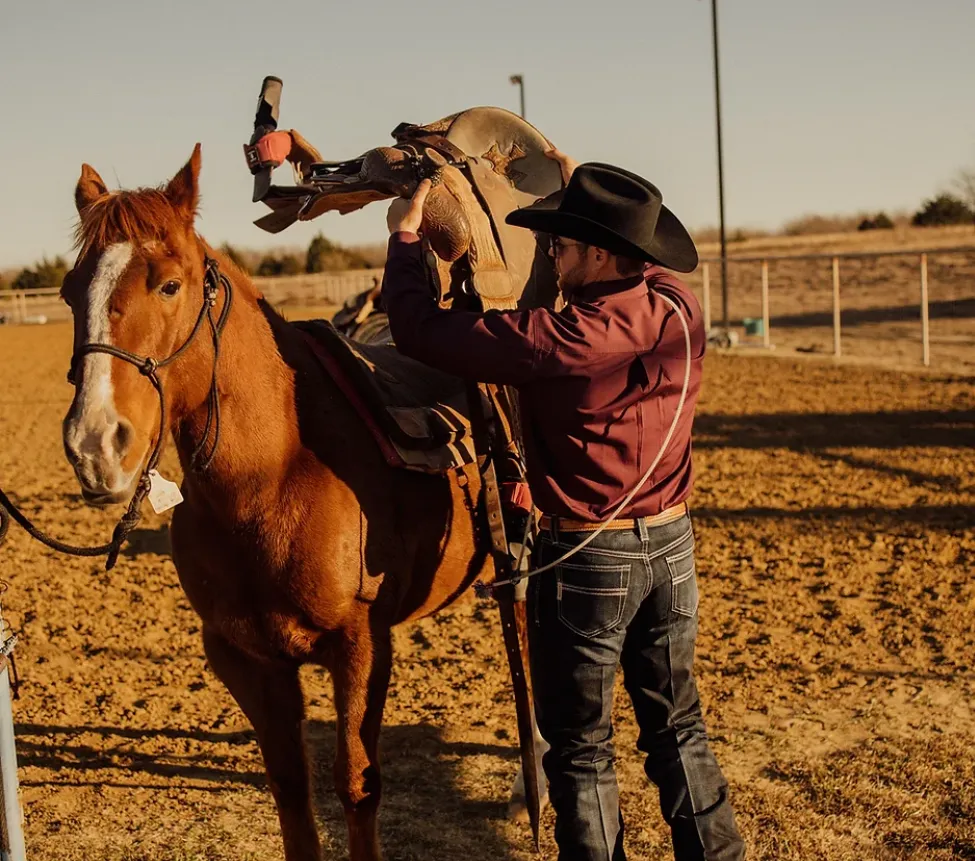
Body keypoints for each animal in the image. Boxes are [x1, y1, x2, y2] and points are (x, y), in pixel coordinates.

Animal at [60, 143, 530, 861]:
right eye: (68, 291)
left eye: (169, 284)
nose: (94, 443)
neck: (272, 480)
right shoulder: (244, 658)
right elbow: (289, 784)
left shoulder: (360, 647)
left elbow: (356, 784)